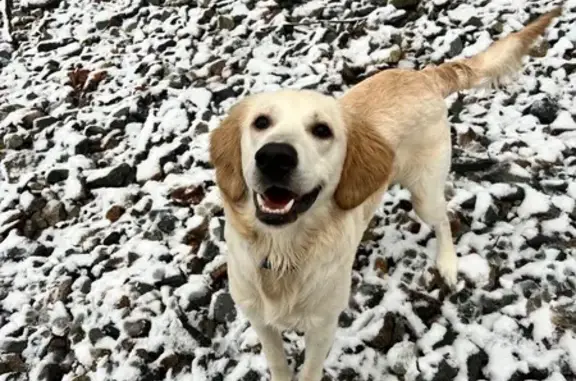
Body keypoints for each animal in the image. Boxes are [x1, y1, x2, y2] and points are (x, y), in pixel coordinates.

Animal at [208, 8, 564, 380]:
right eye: (261, 122)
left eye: (322, 130)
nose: (274, 157)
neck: (281, 253)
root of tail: (425, 76)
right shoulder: (260, 321)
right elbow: (278, 361)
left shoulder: (322, 327)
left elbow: (309, 370)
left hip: (425, 193)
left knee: (444, 220)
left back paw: (447, 263)